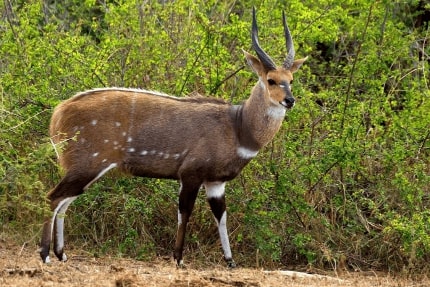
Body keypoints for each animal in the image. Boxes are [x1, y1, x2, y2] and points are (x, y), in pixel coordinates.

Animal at [40, 9, 306, 270]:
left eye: (291, 80)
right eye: (271, 80)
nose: (290, 100)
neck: (239, 128)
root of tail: (59, 113)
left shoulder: (215, 182)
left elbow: (221, 215)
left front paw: (230, 261)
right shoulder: (190, 173)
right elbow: (185, 212)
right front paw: (178, 258)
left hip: (85, 168)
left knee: (65, 200)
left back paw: (62, 254)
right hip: (88, 163)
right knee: (54, 197)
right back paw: (45, 255)